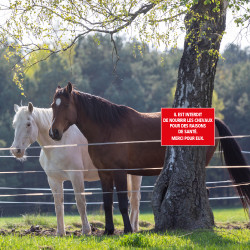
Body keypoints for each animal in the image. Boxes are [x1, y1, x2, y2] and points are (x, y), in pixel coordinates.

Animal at [10, 102, 143, 235]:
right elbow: (58, 205)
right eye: (14, 125)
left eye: (28, 124)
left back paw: (133, 227)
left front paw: (86, 230)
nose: (16, 150)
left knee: (135, 199)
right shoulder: (53, 179)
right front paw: (60, 233)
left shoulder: (76, 176)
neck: (59, 144)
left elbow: (80, 202)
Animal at [49, 82, 250, 234]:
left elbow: (123, 203)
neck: (108, 128)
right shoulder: (104, 173)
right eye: (52, 106)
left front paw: (128, 230)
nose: (54, 132)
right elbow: (107, 204)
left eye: (65, 105)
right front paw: (108, 231)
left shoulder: (119, 172)